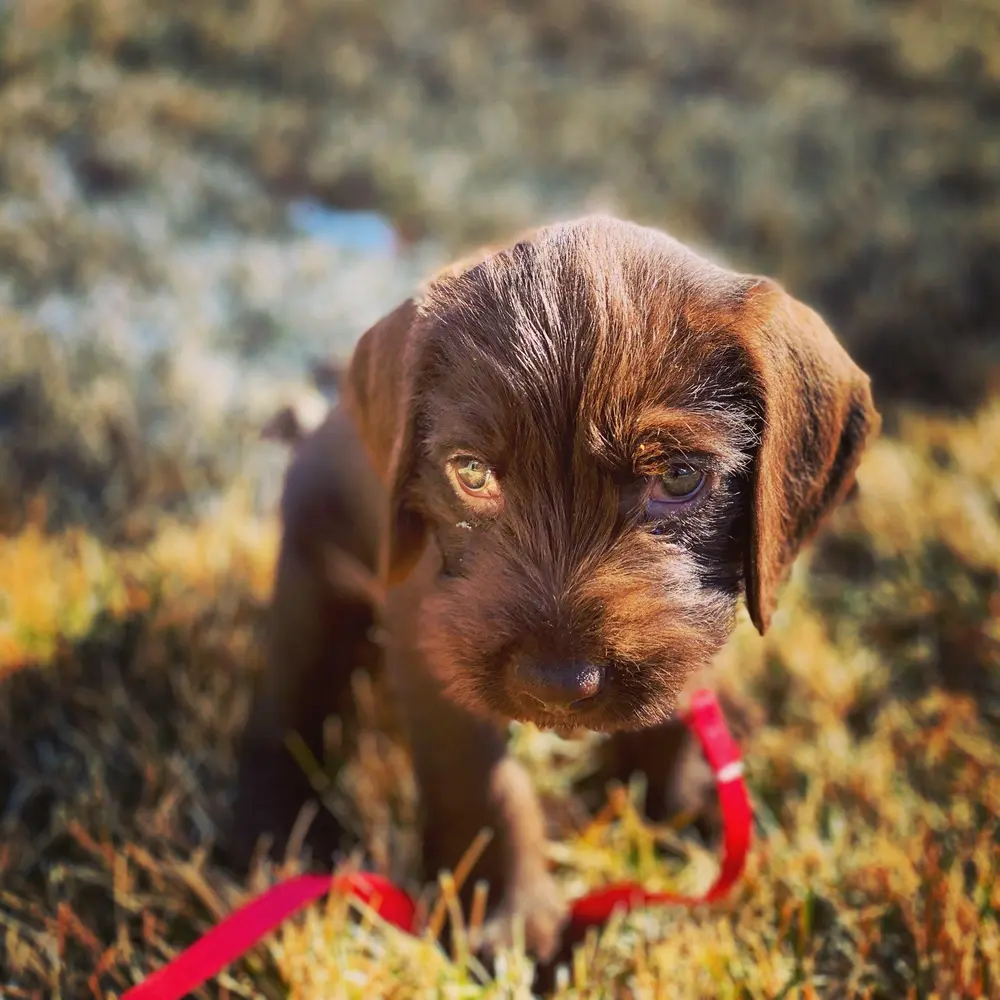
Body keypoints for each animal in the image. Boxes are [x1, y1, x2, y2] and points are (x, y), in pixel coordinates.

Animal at [230, 217, 880, 960]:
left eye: (680, 478)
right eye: (471, 473)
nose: (558, 683)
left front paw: (679, 789)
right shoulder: (432, 639)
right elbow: (479, 777)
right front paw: (505, 916)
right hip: (312, 582)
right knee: (286, 702)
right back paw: (271, 827)